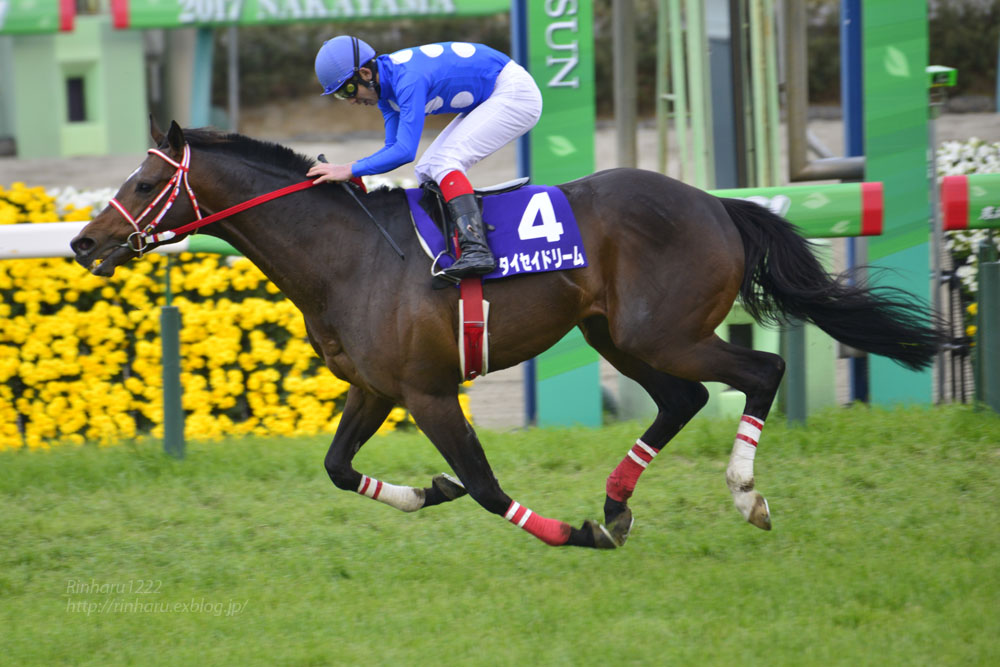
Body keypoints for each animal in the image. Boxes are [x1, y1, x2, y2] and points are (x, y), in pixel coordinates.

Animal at [70, 122, 944, 552]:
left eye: (143, 184)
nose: (82, 242)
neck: (347, 253)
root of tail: (717, 202)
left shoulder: (428, 390)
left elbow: (489, 487)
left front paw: (571, 533)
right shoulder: (377, 386)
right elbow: (338, 468)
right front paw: (428, 490)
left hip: (661, 330)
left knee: (759, 369)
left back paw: (742, 494)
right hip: (619, 336)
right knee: (685, 399)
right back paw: (619, 502)